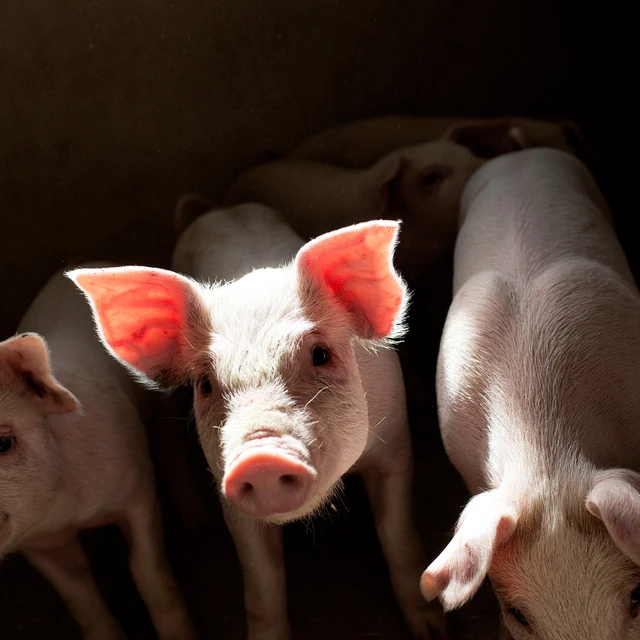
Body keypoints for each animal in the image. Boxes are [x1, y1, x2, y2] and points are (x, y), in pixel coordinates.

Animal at [0, 267, 197, 640]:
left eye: (3, 443)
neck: (67, 513)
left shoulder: (137, 486)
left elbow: (146, 571)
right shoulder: (38, 542)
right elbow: (80, 597)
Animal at [67, 207, 446, 640]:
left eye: (320, 354)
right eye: (205, 383)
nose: (261, 458)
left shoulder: (395, 447)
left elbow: (396, 534)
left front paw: (433, 631)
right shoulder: (227, 491)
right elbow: (262, 583)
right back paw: (195, 521)